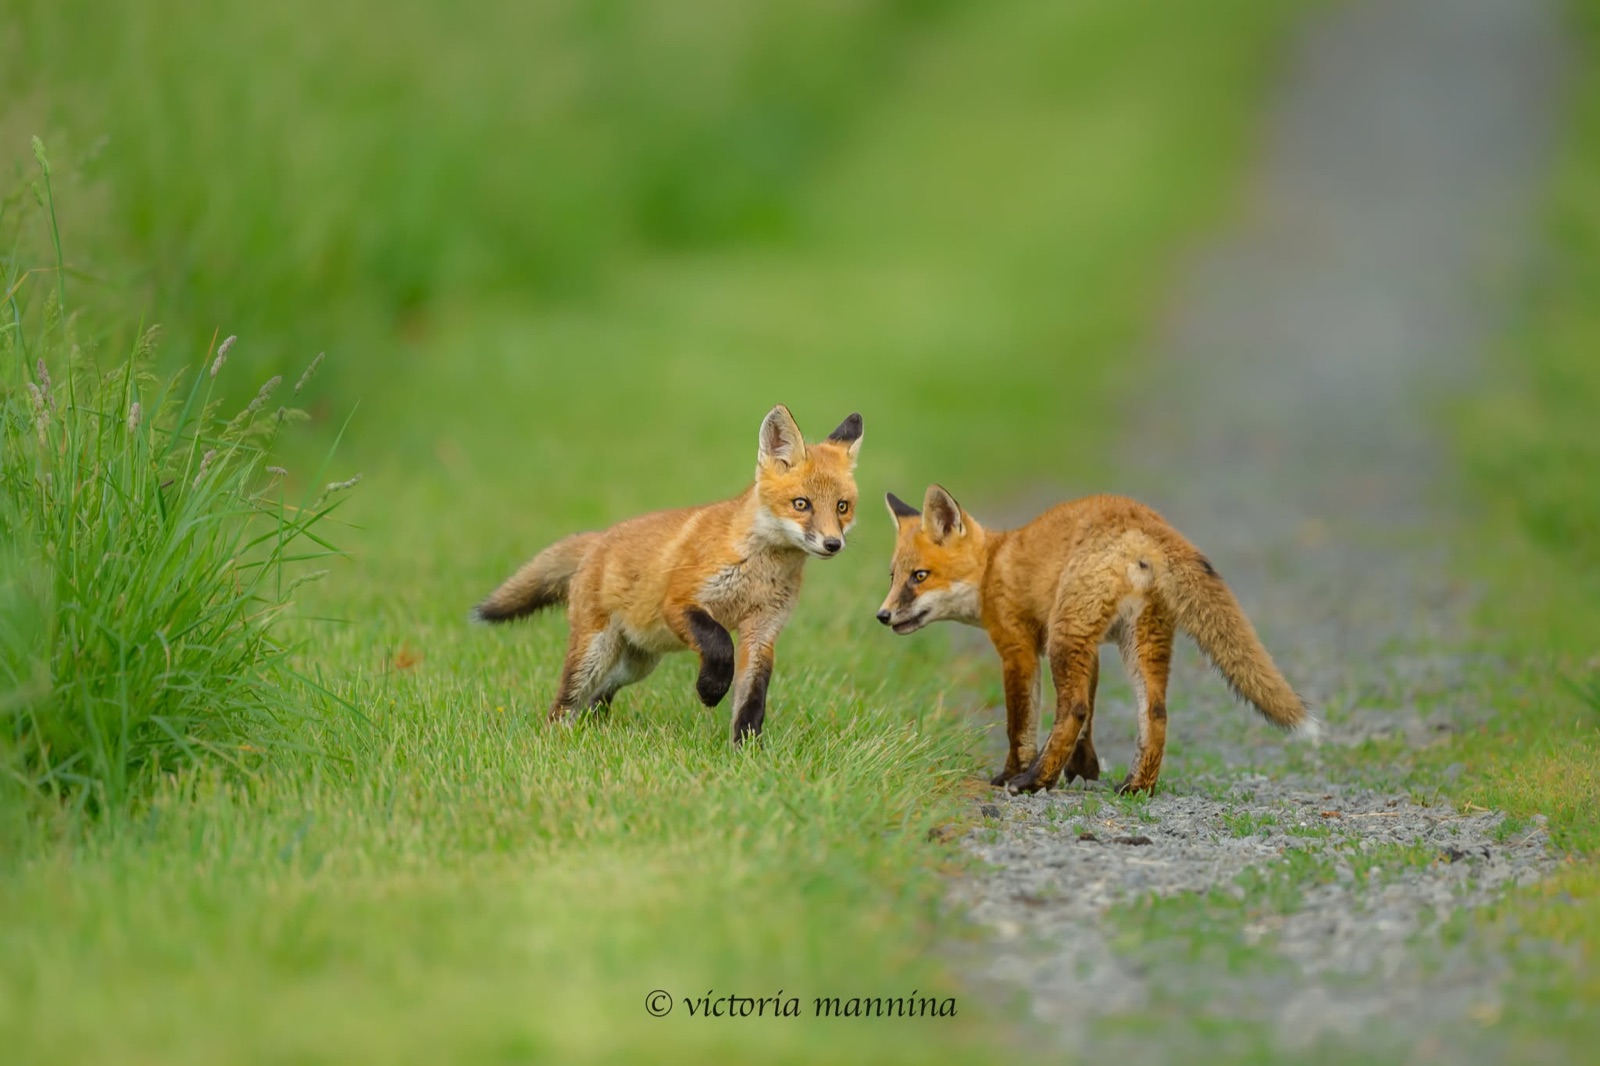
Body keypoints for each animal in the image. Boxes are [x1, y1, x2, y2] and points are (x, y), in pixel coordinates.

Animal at [473, 404, 862, 744]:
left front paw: (746, 752)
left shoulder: (763, 630)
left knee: (600, 694)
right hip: (595, 653)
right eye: (802, 504)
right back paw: (559, 735)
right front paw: (710, 689)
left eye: (842, 507)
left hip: (637, 662)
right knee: (567, 701)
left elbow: (752, 699)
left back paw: (594, 726)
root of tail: (600, 538)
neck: (759, 568)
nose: (833, 544)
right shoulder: (679, 601)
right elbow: (720, 642)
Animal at [876, 485, 1318, 794]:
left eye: (920, 576)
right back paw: (1137, 786)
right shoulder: (1092, 648)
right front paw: (1083, 768)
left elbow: (1022, 725)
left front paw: (1014, 773)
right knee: (1154, 713)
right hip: (1136, 641)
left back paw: (1034, 781)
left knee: (1072, 709)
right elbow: (1089, 722)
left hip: (1066, 638)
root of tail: (1146, 522)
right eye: (893, 577)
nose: (882, 616)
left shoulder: (1020, 649)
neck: (993, 567)